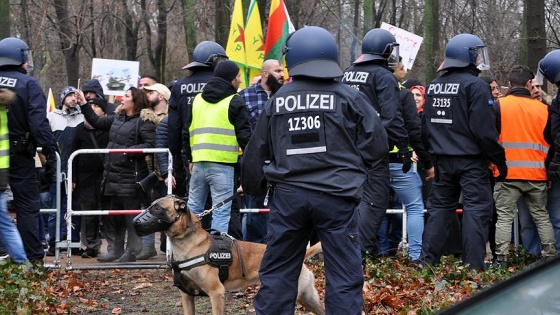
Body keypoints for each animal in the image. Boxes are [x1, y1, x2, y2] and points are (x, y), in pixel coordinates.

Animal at [135, 196, 324, 314]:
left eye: (157, 208)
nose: (135, 222)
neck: (187, 242)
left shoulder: (216, 293)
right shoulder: (187, 296)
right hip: (307, 297)